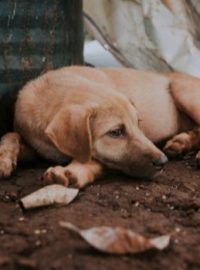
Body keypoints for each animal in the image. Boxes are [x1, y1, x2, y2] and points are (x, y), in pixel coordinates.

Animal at [0, 66, 200, 188]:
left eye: (138, 123)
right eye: (116, 132)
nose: (163, 162)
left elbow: (89, 160)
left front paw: (69, 172)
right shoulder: (36, 146)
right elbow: (10, 135)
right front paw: (4, 159)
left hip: (184, 91)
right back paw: (181, 142)